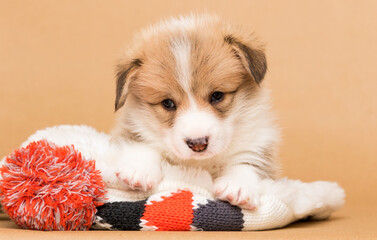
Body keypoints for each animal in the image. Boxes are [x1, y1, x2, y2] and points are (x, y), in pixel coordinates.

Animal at [110, 13, 278, 210]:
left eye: (217, 95)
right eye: (168, 103)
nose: (198, 143)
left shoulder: (260, 141)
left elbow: (249, 161)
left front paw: (237, 185)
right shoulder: (132, 125)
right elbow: (141, 141)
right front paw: (139, 170)